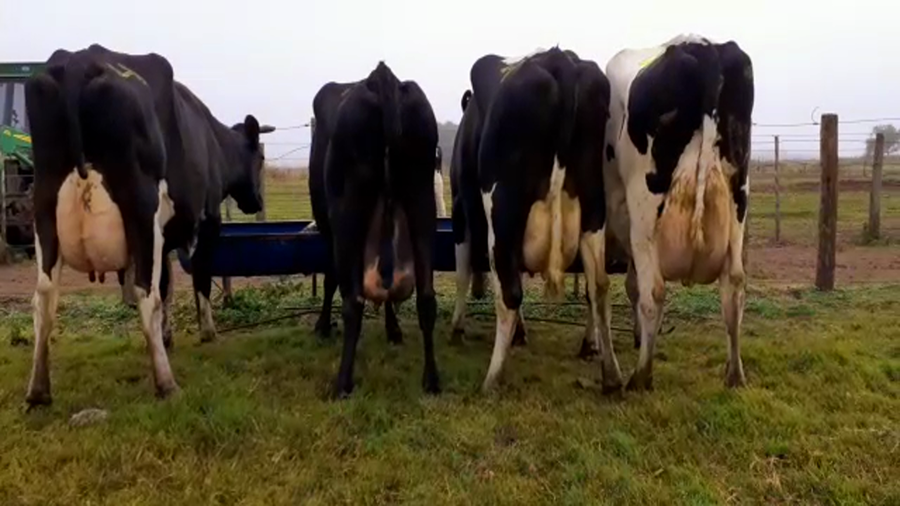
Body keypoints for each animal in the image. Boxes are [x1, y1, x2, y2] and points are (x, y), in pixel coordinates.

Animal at [23, 44, 272, 405]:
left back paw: (38, 390)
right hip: (141, 207)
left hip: (44, 206)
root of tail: (81, 60)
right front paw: (207, 331)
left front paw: (168, 336)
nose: (257, 201)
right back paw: (166, 383)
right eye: (261, 158)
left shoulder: (164, 238)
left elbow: (167, 283)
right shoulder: (206, 223)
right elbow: (199, 278)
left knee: (44, 296)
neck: (212, 139)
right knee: (145, 293)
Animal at [308, 61, 441, 398]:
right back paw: (432, 380)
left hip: (348, 214)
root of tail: (383, 76)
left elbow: (330, 279)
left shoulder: (329, 229)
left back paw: (342, 383)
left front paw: (322, 325)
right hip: (421, 199)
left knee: (353, 302)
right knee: (425, 297)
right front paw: (393, 330)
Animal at [449, 47, 621, 392]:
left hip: (502, 211)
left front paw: (457, 329)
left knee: (509, 291)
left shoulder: (461, 209)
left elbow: (463, 272)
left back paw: (492, 377)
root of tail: (560, 59)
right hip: (594, 207)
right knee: (598, 287)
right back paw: (610, 373)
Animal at [601, 34, 754, 391]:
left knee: (654, 292)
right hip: (737, 203)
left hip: (645, 215)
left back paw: (641, 377)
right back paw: (735, 374)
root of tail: (703, 46)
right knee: (734, 287)